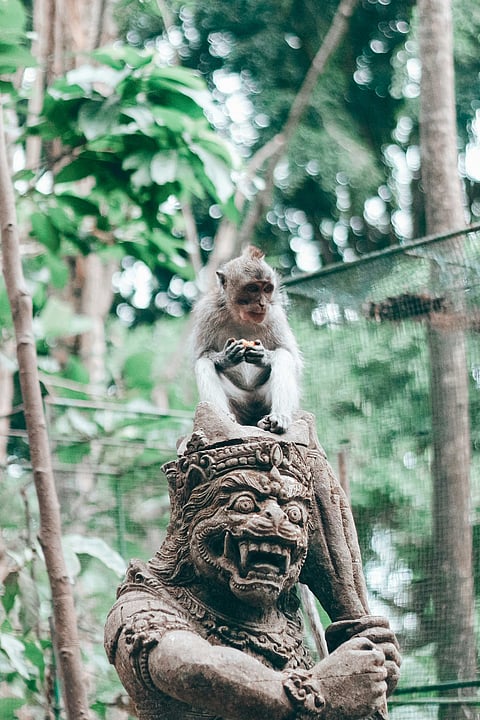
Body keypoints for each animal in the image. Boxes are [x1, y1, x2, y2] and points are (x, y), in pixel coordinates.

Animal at [191, 245, 302, 433]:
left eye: (267, 289)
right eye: (253, 289)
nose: (262, 304)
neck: (240, 316)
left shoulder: (275, 315)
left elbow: (291, 357)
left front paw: (263, 356)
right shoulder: (207, 312)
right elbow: (201, 355)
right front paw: (225, 358)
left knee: (283, 357)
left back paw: (277, 419)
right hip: (238, 402)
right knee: (204, 364)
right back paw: (223, 418)